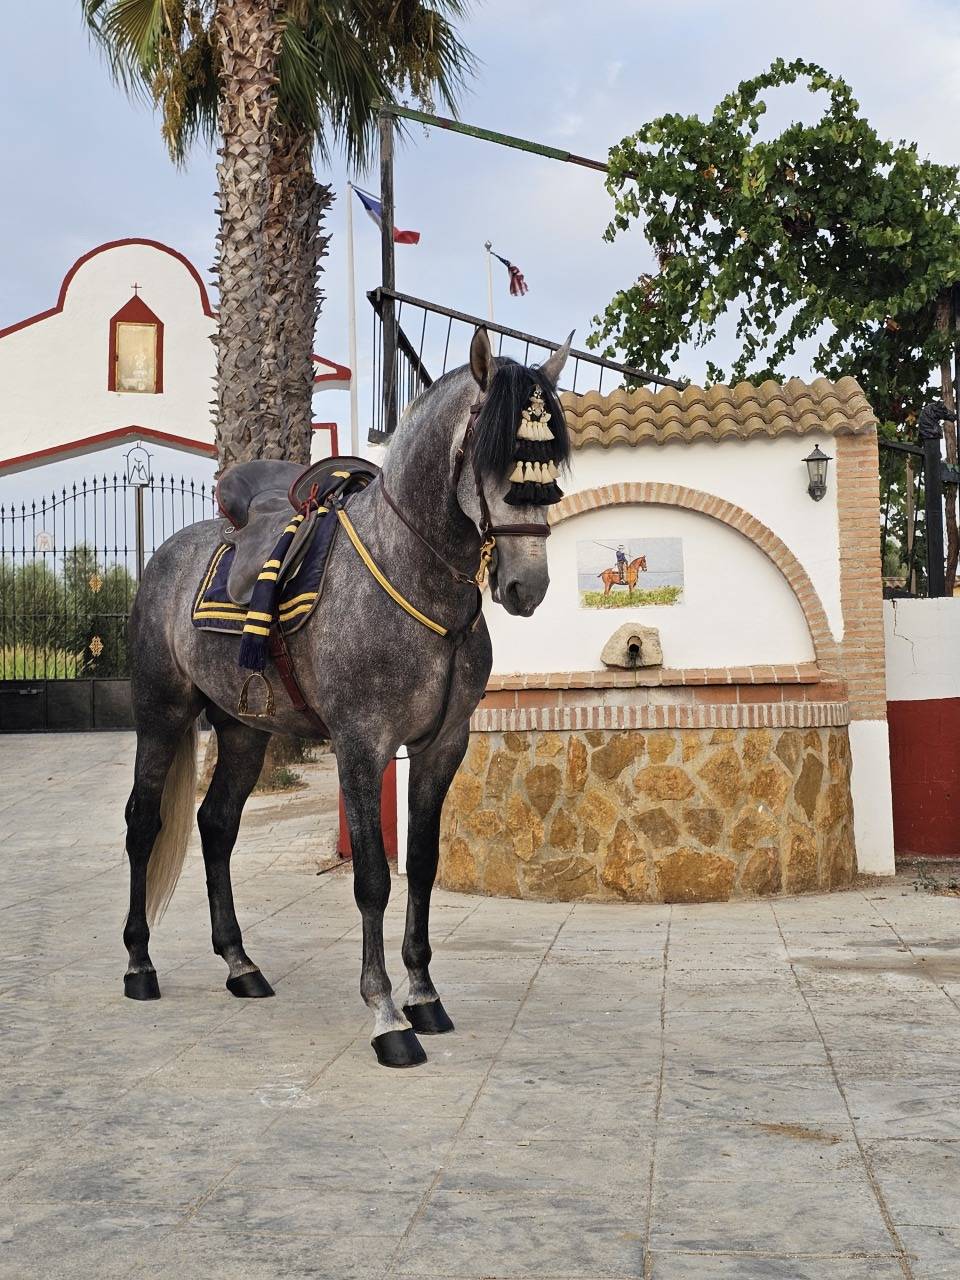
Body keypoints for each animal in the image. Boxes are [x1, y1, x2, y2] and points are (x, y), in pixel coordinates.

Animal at [121, 328, 572, 1068]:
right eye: (498, 457)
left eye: (549, 465)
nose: (526, 586)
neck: (410, 574)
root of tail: (166, 556)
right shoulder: (362, 746)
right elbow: (372, 879)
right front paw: (386, 1014)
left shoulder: (441, 748)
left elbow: (421, 865)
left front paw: (424, 995)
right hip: (160, 717)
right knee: (143, 824)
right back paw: (138, 963)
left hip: (244, 729)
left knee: (217, 825)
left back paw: (240, 963)